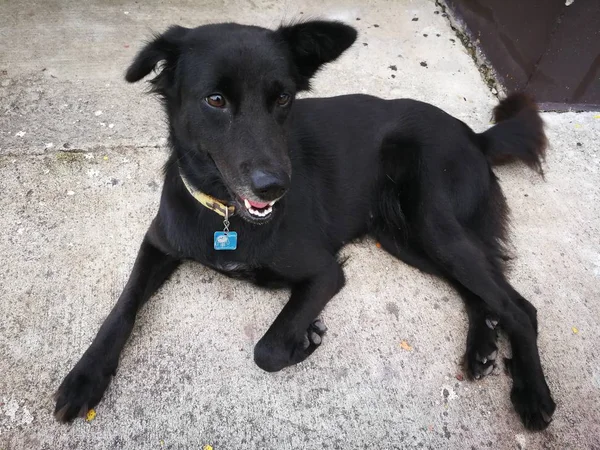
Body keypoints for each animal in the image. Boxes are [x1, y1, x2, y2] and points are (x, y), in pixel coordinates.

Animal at [54, 20, 556, 428]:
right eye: (215, 100)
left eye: (283, 98)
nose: (274, 186)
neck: (227, 214)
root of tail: (474, 134)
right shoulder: (157, 243)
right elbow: (122, 308)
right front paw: (85, 376)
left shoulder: (324, 272)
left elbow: (267, 350)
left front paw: (303, 339)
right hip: (405, 238)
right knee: (479, 289)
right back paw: (482, 345)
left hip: (435, 226)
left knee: (520, 307)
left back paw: (532, 393)